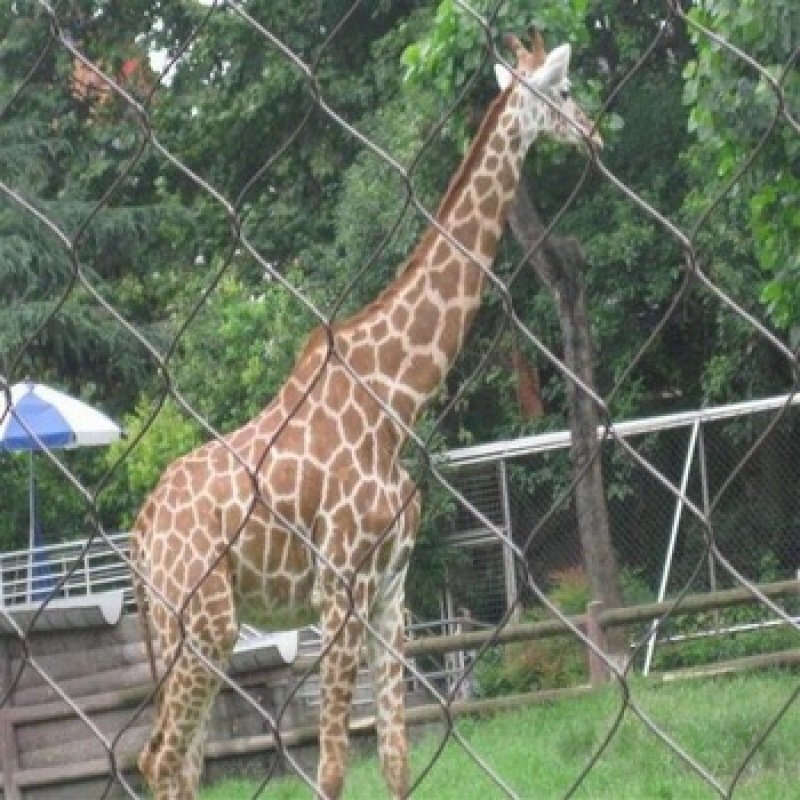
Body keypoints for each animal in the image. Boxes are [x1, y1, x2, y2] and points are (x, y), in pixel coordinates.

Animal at [133, 28, 600, 796]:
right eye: (563, 89)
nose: (594, 134)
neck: (394, 404)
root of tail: (140, 537)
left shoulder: (390, 592)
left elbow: (395, 761)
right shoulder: (340, 587)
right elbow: (329, 767)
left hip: (186, 629)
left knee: (182, 759)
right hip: (205, 622)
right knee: (161, 757)